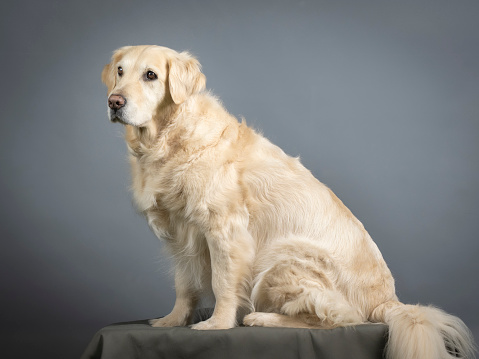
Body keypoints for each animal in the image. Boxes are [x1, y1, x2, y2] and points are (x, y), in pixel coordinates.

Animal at [101, 45, 476, 359]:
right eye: (120, 71)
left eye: (151, 75)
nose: (114, 102)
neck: (169, 136)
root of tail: (388, 301)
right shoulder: (181, 232)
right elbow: (184, 285)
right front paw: (172, 320)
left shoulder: (224, 229)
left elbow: (223, 282)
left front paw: (217, 324)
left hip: (281, 259)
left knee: (342, 317)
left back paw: (263, 319)